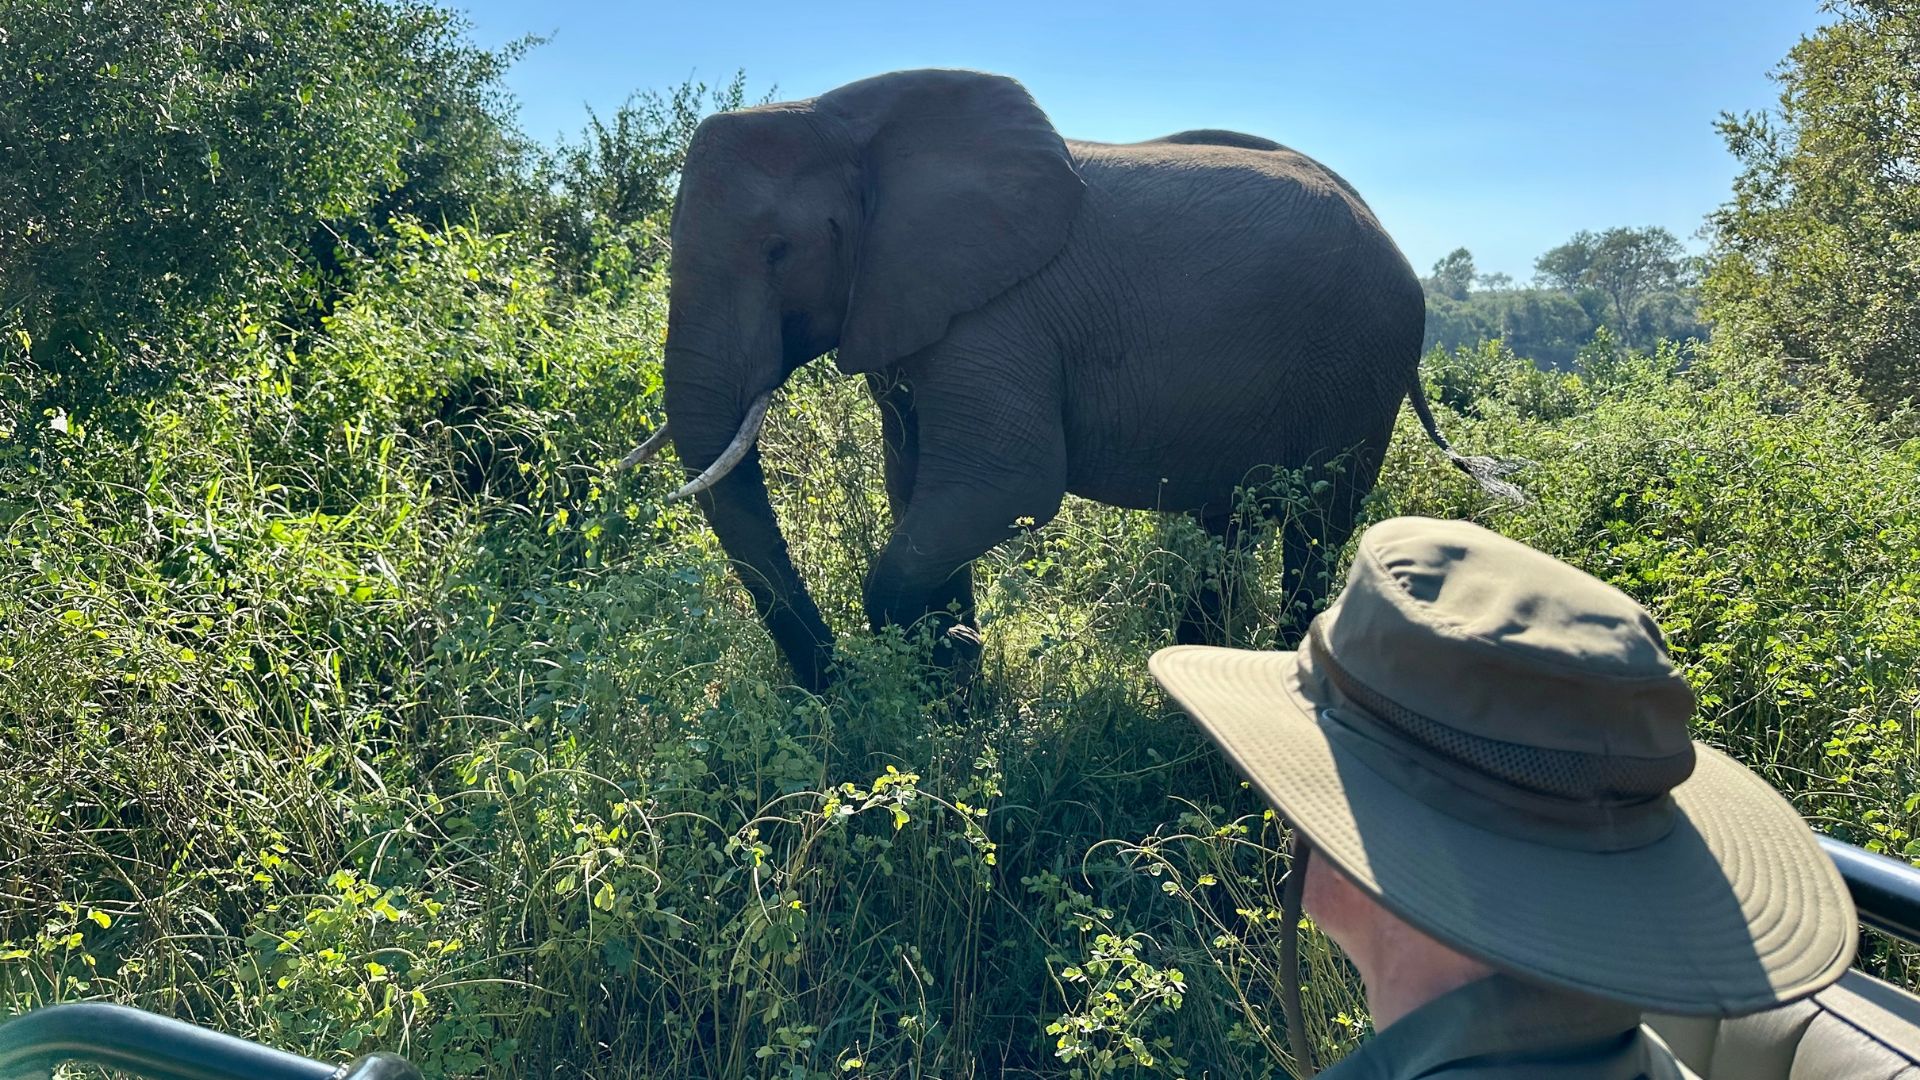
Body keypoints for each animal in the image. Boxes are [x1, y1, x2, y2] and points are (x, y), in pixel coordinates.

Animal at [625, 68, 1520, 693]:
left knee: (1316, 530)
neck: (841, 116)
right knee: (1228, 521)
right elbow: (916, 486)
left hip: (1359, 365)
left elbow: (1002, 484)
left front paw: (941, 678)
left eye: (779, 250)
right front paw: (953, 700)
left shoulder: (998, 317)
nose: (830, 692)